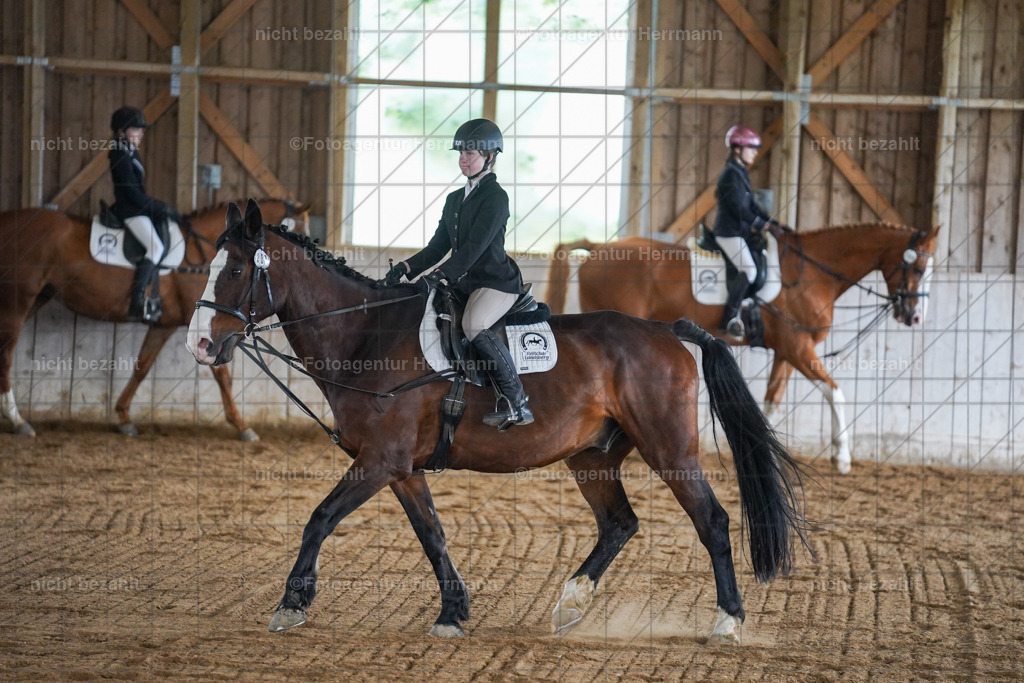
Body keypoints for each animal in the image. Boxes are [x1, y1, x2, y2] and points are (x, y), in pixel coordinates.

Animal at [0, 199, 308, 439]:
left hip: (39, 296)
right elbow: (222, 376)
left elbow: (142, 366)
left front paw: (123, 417)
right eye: (300, 235)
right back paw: (18, 420)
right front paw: (242, 425)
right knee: (6, 355)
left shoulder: (165, 325)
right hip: (18, 300)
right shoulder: (206, 330)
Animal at [185, 199, 810, 643]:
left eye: (235, 269)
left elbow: (319, 518)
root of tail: (666, 329)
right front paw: (452, 613)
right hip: (593, 456)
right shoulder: (401, 467)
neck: (367, 336)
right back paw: (570, 605)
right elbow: (432, 534)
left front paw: (291, 604)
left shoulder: (379, 460)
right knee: (619, 524)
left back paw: (728, 621)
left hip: (670, 451)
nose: (199, 344)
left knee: (711, 521)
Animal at [545, 222, 940, 475]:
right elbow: (835, 393)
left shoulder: (786, 352)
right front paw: (842, 458)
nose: (915, 316)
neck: (812, 273)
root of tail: (599, 248)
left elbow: (772, 401)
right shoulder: (799, 348)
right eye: (919, 267)